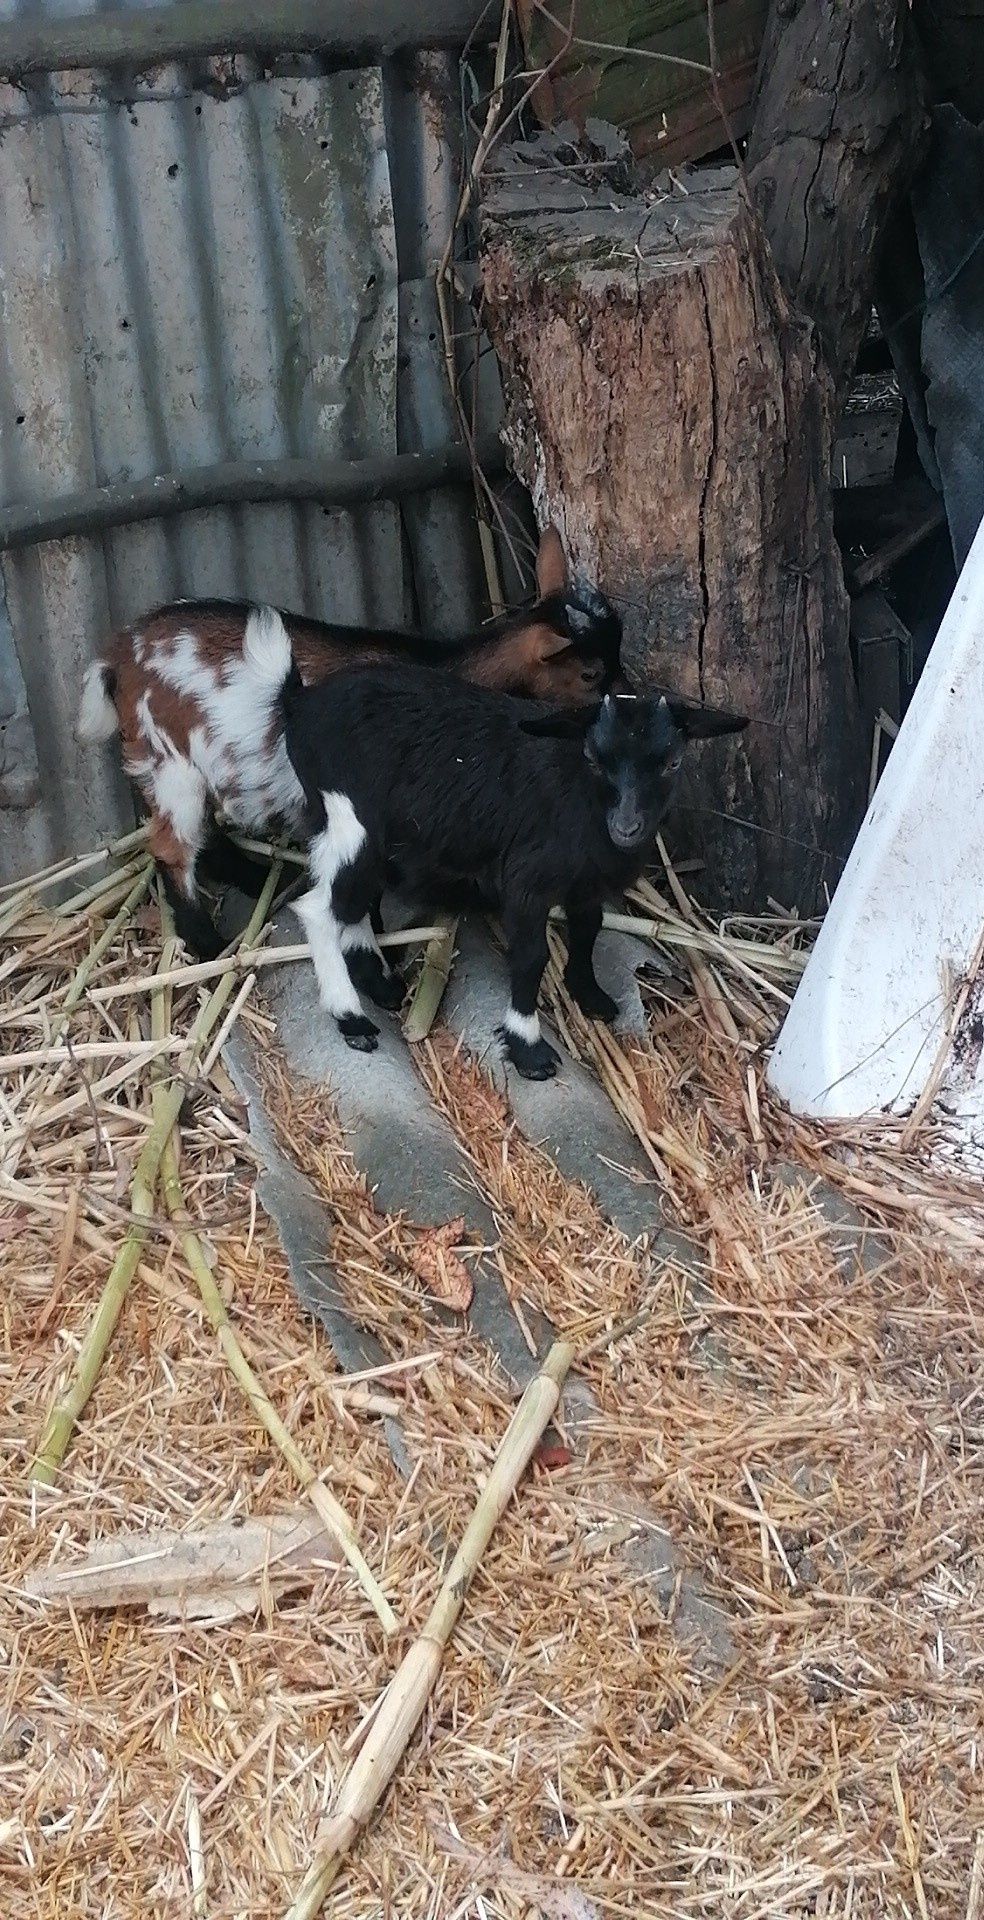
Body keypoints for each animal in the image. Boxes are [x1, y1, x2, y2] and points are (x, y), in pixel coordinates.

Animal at [80, 526, 626, 952]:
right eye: (589, 674)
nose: (628, 709)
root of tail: (119, 655)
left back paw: (255, 879)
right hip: (168, 758)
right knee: (172, 848)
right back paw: (209, 945)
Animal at [265, 637, 741, 1075]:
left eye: (673, 763)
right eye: (592, 756)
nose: (626, 828)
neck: (583, 802)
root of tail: (299, 705)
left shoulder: (585, 883)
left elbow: (588, 928)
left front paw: (589, 993)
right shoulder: (527, 880)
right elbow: (531, 957)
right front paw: (528, 1046)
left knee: (355, 904)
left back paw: (379, 983)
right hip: (351, 820)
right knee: (320, 909)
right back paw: (351, 1017)